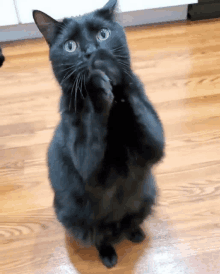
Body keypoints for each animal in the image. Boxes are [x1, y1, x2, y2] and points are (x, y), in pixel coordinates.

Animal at [33, 0, 165, 268]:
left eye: (102, 34)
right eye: (70, 46)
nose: (91, 51)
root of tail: (116, 227)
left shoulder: (153, 142)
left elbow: (133, 98)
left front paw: (110, 71)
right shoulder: (91, 169)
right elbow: (94, 129)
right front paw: (97, 86)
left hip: (148, 193)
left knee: (131, 222)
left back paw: (136, 234)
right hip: (76, 219)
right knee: (99, 237)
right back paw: (108, 255)